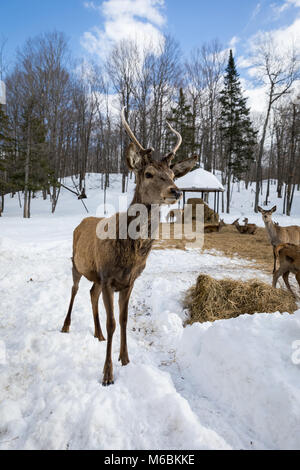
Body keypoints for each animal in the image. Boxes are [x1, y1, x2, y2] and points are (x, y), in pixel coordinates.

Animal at [60, 107, 197, 386]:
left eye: (173, 174)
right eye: (148, 173)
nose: (175, 191)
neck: (130, 253)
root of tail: (81, 222)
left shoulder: (128, 280)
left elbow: (123, 320)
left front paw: (125, 359)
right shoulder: (108, 277)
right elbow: (113, 322)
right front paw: (107, 374)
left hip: (95, 276)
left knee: (91, 293)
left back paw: (97, 334)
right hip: (76, 264)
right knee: (74, 290)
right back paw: (65, 325)